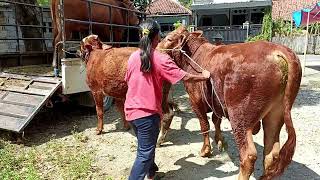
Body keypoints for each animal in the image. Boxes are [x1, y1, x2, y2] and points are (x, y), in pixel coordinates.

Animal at [158, 27, 302, 180]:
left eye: (169, 38)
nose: (157, 48)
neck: (196, 55)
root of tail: (278, 50)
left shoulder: (195, 100)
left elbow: (204, 124)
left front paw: (205, 151)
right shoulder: (216, 103)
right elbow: (216, 120)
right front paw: (220, 141)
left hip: (240, 118)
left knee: (248, 155)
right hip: (275, 114)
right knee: (271, 155)